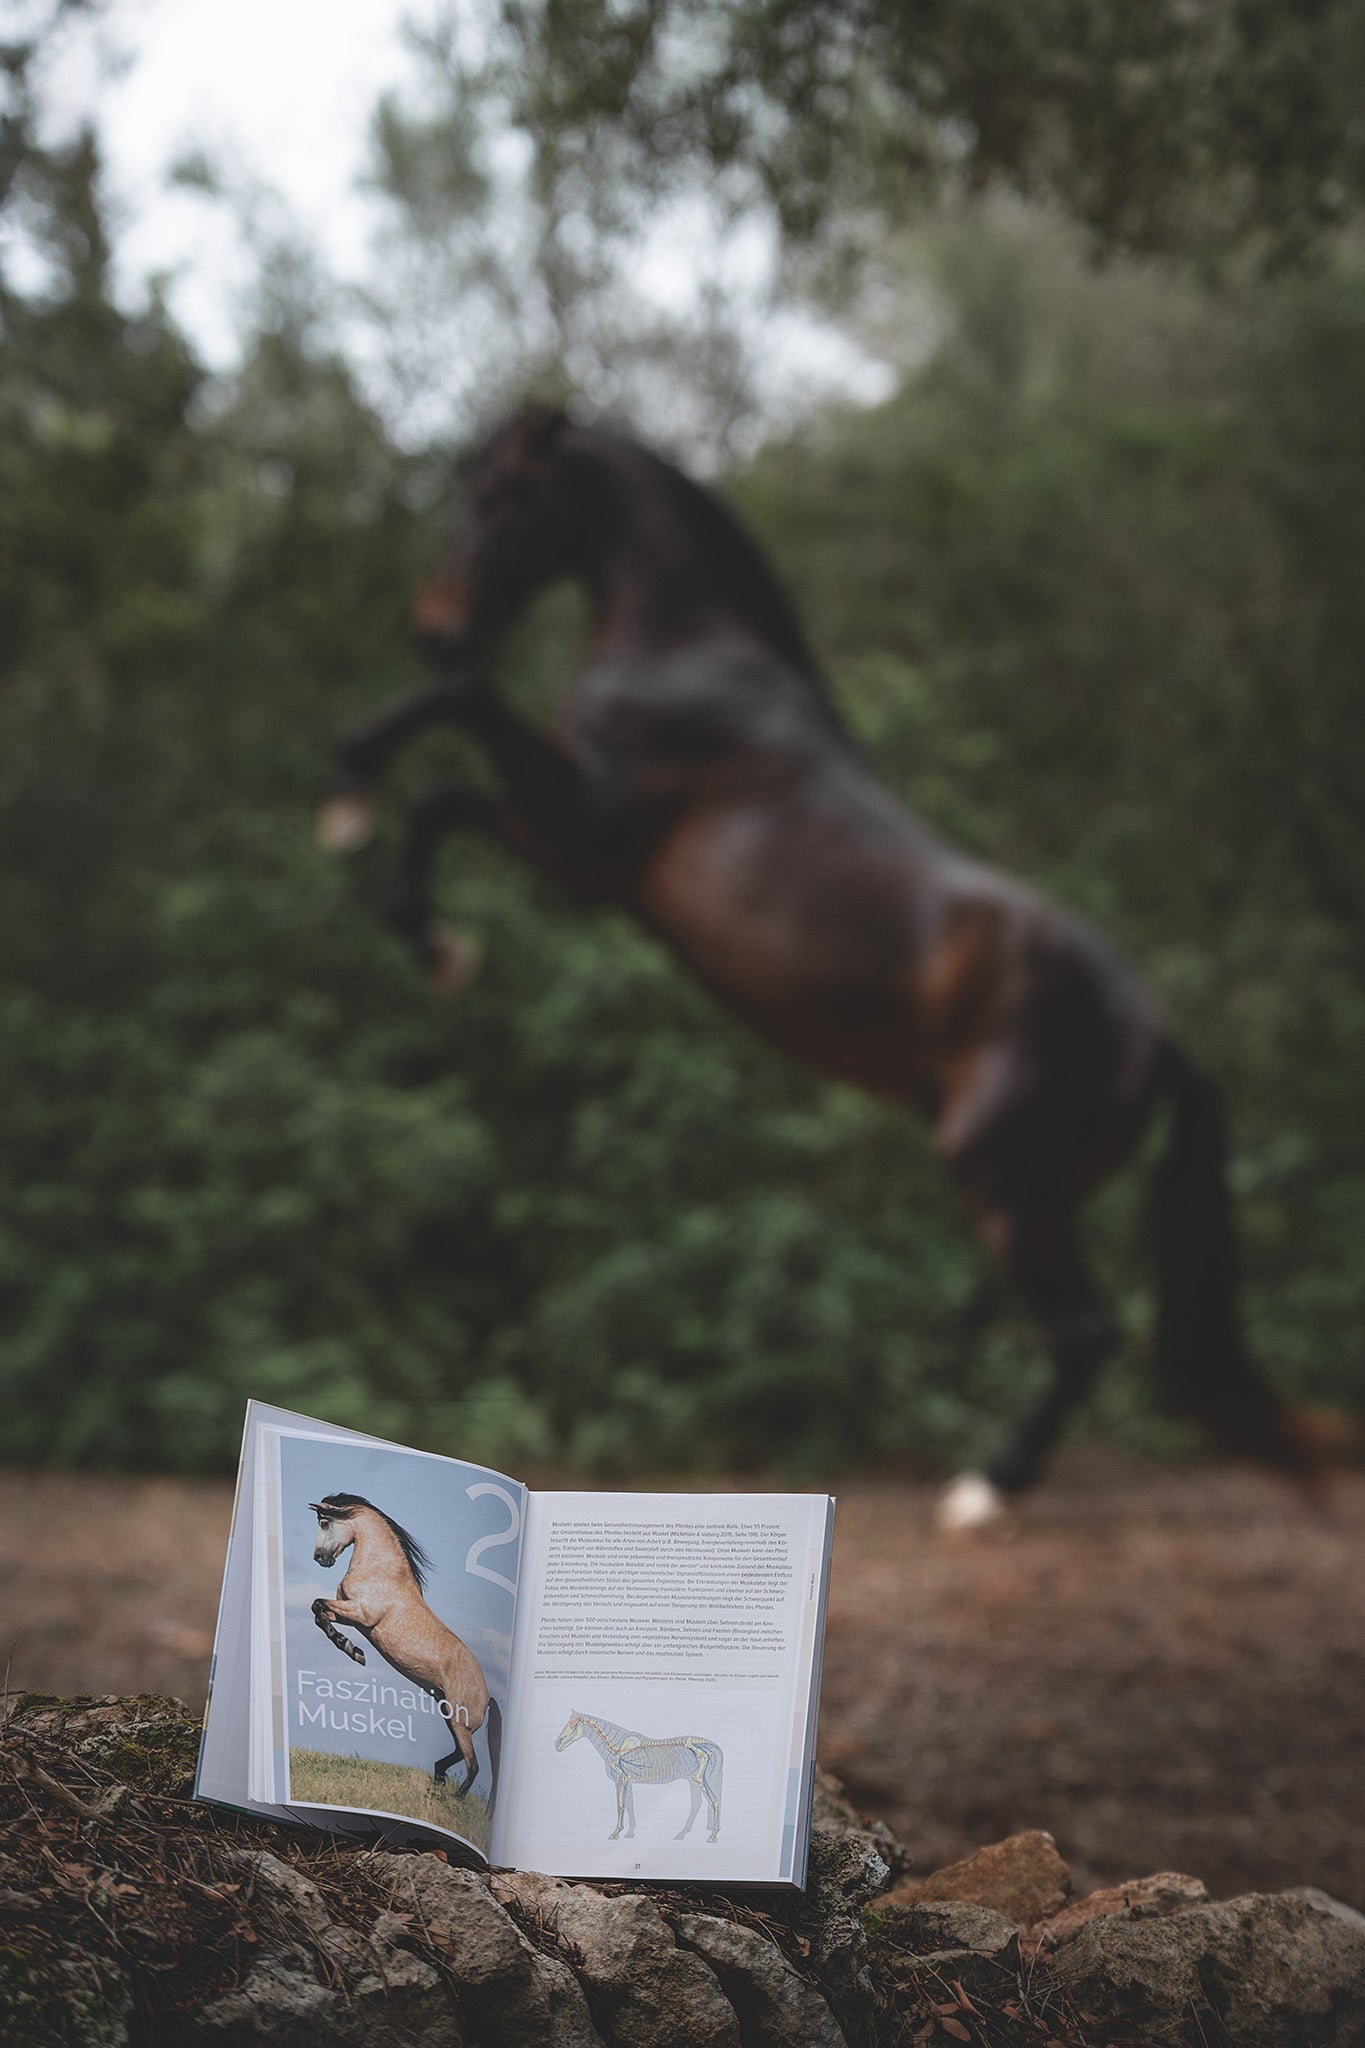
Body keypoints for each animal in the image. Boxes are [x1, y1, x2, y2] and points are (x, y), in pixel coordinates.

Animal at [309, 1492, 501, 1803]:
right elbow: (319, 1613)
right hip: (449, 1715)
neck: (379, 1571)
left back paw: (452, 1798)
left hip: (459, 1722)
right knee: (459, 1755)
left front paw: (354, 1651)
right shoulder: (350, 1615)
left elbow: (317, 1605)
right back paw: (438, 1779)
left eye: (324, 1522)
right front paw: (352, 1649)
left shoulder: (361, 1614)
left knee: (473, 1765)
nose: (319, 1559)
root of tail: (487, 1697)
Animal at [321, 403, 1325, 1527]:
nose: (435, 622)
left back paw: (982, 1491)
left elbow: (449, 737)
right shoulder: (575, 855)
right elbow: (448, 770)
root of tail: (1152, 1033)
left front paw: (375, 838)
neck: (689, 656)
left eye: (503, 497)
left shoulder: (583, 825)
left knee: (1085, 1331)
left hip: (1001, 1180)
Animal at [555, 1710, 723, 1841]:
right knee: (706, 1802)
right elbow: (628, 1805)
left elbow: (620, 1805)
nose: (557, 1744)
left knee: (712, 1799)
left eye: (573, 1723)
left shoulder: (621, 1779)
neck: (616, 1746)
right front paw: (629, 1832)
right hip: (698, 1779)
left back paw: (712, 1836)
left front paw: (615, 1833)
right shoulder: (625, 1781)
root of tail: (708, 1745)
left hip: (698, 1778)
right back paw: (685, 1834)